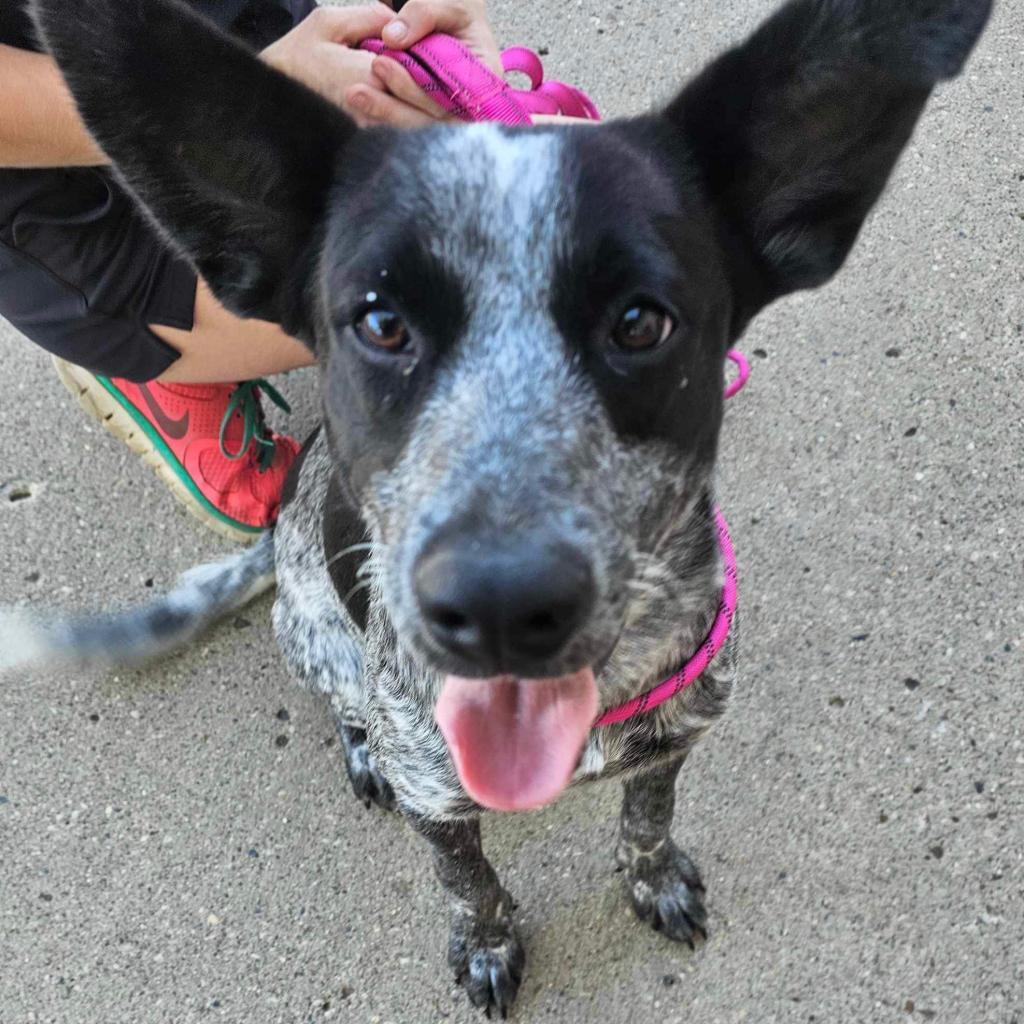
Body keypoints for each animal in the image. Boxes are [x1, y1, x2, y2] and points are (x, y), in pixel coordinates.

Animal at [2, 0, 991, 1011]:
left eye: (641, 322)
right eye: (380, 322)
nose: (503, 606)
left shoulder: (678, 735)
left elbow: (648, 817)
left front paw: (653, 877)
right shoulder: (437, 797)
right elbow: (466, 879)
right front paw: (485, 941)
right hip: (313, 633)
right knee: (341, 699)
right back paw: (358, 742)